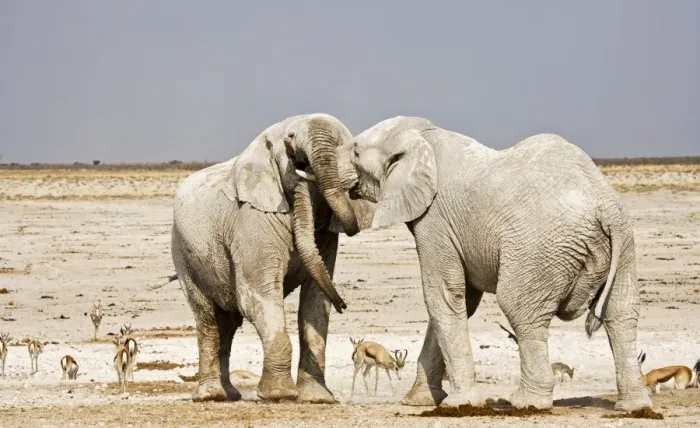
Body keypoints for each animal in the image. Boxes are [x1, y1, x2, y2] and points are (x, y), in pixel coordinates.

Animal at [167, 113, 374, 403]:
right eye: (289, 141)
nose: (345, 304)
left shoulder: (325, 237)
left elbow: (315, 301)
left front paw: (317, 398)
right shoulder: (253, 218)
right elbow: (259, 295)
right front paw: (279, 395)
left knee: (228, 324)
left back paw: (230, 394)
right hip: (183, 252)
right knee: (208, 318)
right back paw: (211, 396)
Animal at [322, 115, 651, 411]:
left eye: (355, 151)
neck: (425, 135)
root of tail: (604, 207)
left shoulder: (435, 220)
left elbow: (444, 296)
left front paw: (458, 404)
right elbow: (462, 301)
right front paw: (417, 402)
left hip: (539, 247)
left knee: (520, 309)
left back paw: (527, 403)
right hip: (625, 245)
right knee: (621, 313)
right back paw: (635, 406)